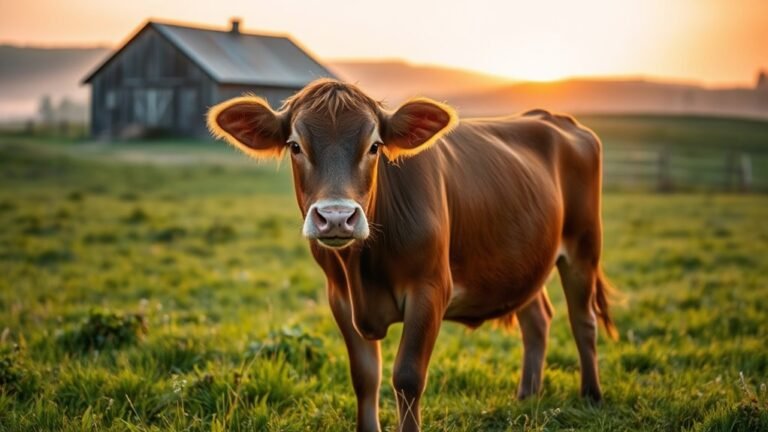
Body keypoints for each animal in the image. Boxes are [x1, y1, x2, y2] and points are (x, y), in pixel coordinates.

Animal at [207, 79, 617, 432]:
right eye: (295, 146)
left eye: (374, 146)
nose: (337, 217)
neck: (361, 269)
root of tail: (551, 117)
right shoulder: (339, 297)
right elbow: (365, 376)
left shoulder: (430, 290)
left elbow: (406, 377)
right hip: (521, 260)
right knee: (537, 320)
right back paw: (526, 397)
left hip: (583, 247)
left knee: (583, 320)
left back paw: (592, 396)